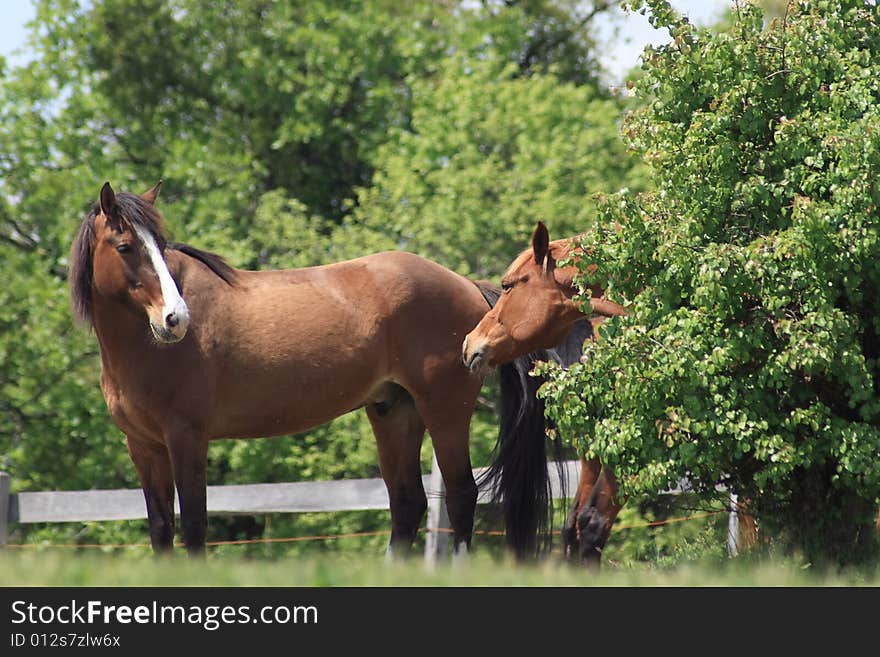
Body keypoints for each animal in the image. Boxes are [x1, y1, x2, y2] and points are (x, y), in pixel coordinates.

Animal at [70, 182, 552, 556]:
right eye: (125, 246)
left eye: (162, 248)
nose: (176, 319)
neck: (144, 348)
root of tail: (468, 285)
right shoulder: (143, 446)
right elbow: (161, 528)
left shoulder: (186, 437)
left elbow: (193, 525)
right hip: (395, 411)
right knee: (408, 504)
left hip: (445, 411)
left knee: (461, 495)